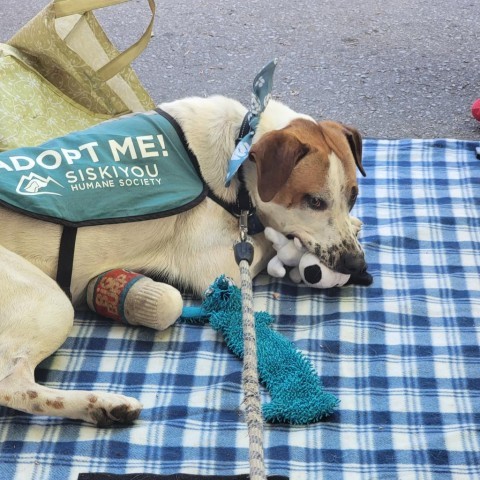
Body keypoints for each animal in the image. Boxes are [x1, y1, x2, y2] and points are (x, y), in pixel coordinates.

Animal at [0, 95, 368, 426]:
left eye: (353, 195)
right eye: (314, 201)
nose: (357, 266)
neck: (237, 154)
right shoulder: (223, 266)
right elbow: (269, 243)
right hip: (49, 300)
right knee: (12, 387)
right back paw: (102, 404)